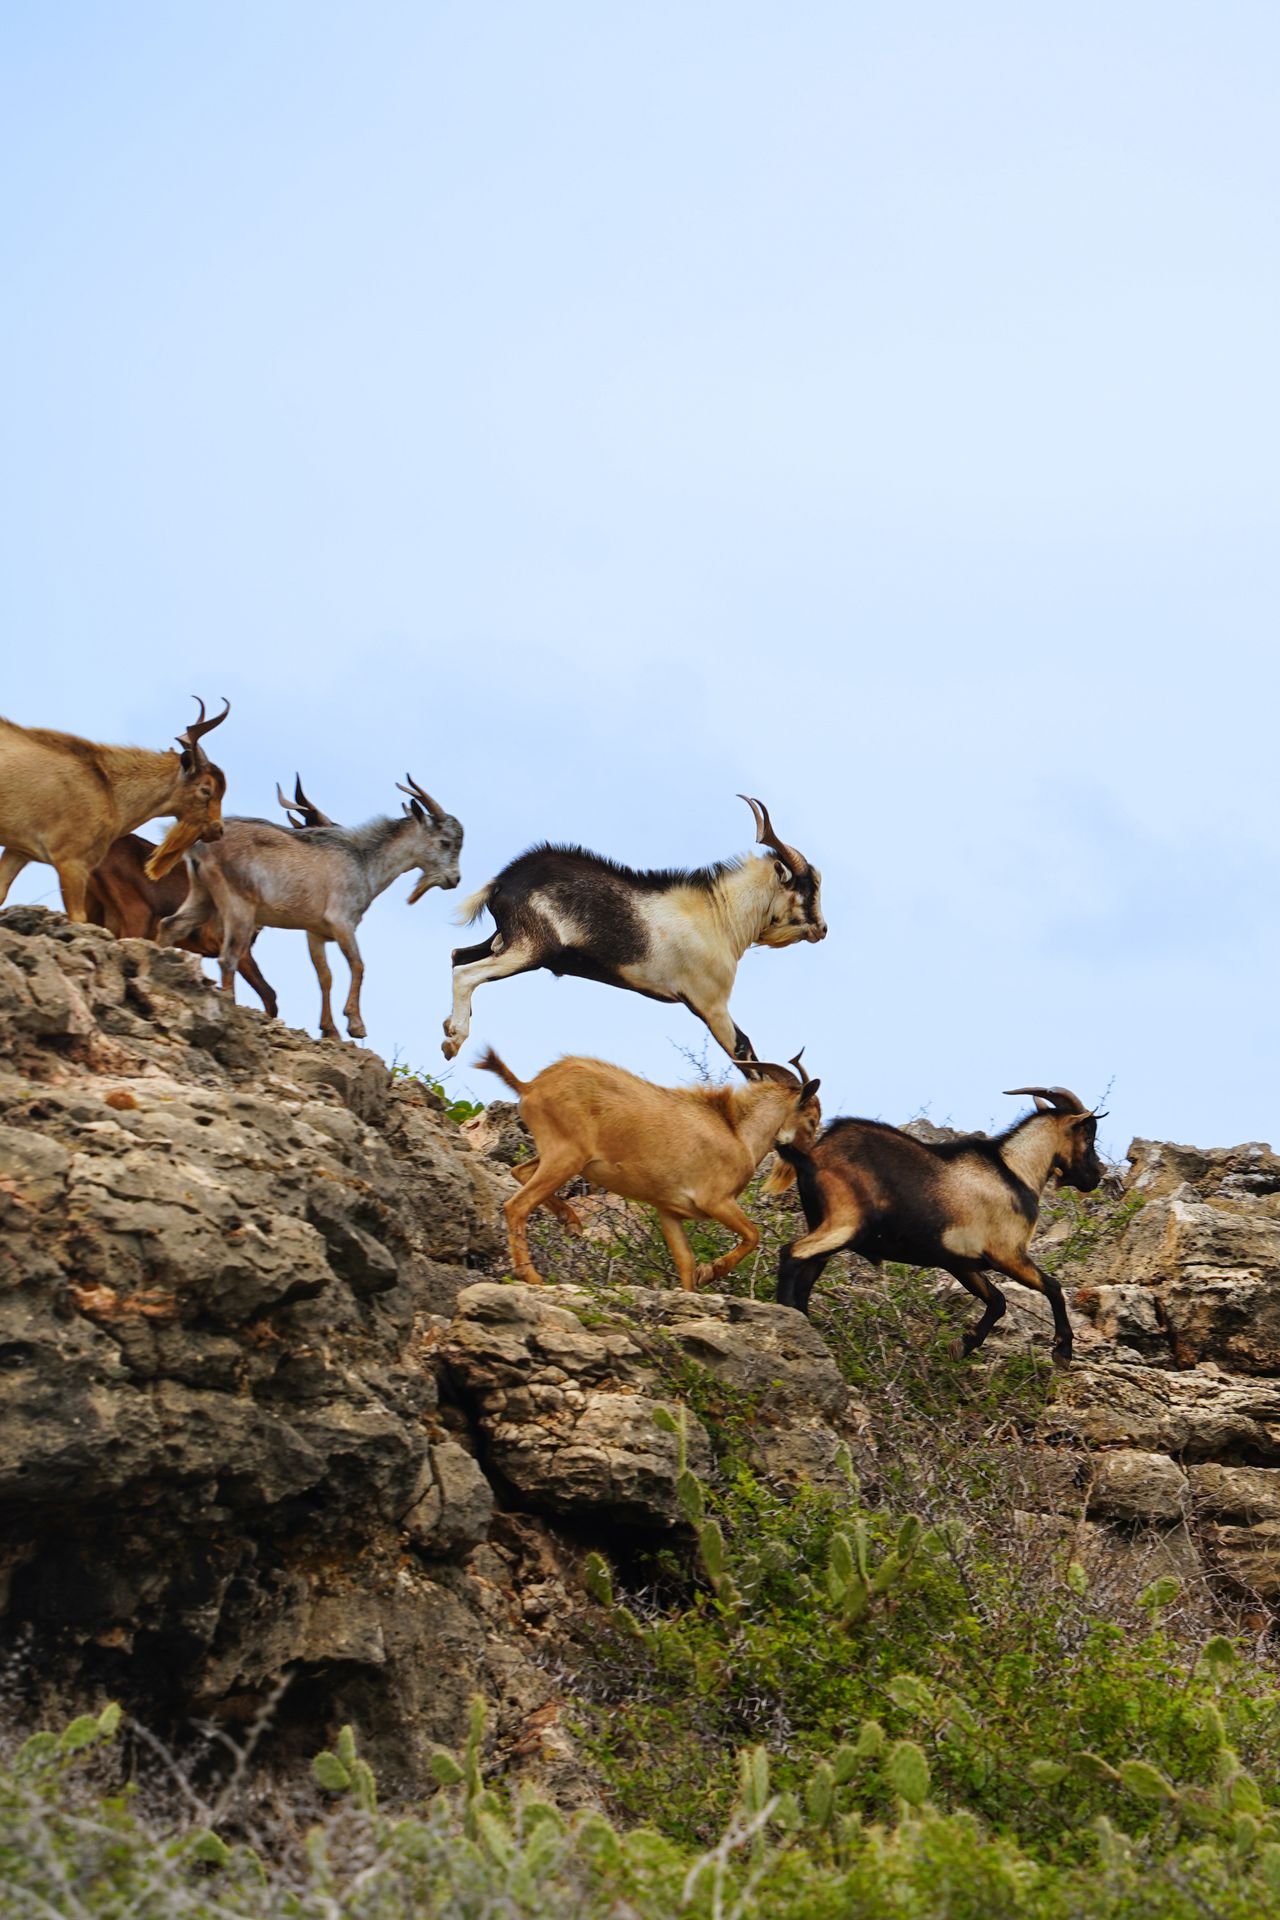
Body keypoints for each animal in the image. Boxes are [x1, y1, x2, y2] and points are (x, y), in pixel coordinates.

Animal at [0, 698, 230, 922]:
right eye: (206, 789)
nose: (217, 829)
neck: (108, 789)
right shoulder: (72, 863)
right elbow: (78, 917)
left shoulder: (19, 852)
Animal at [160, 775, 462, 1040]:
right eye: (445, 842)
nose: (455, 879)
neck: (363, 861)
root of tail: (200, 846)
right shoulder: (342, 922)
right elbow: (358, 965)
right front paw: (355, 1025)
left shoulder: (316, 933)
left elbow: (324, 976)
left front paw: (330, 1030)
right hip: (239, 905)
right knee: (228, 958)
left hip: (203, 897)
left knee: (170, 925)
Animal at [443, 795, 826, 1065]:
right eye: (807, 889)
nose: (822, 929)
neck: (721, 917)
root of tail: (504, 881)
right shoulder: (710, 1002)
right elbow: (745, 1051)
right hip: (531, 948)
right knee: (466, 972)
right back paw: (453, 1041)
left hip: (504, 941)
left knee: (457, 956)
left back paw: (449, 1027)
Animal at [476, 1047, 822, 1291]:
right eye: (812, 1119)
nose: (809, 1160)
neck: (738, 1133)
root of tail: (530, 1086)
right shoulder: (717, 1201)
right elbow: (752, 1235)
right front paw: (711, 1272)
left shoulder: (669, 1210)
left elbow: (685, 1262)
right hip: (566, 1156)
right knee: (517, 1205)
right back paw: (532, 1277)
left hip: (562, 1157)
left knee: (521, 1172)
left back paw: (570, 1222)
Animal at [771, 1086, 1104, 1366]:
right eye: (1088, 1137)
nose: (1095, 1176)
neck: (1015, 1172)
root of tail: (812, 1157)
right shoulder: (1008, 1254)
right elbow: (1053, 1287)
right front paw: (1063, 1351)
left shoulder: (960, 1262)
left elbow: (997, 1301)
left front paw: (962, 1345)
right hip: (845, 1223)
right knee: (792, 1253)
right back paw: (789, 1321)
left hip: (826, 1225)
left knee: (807, 1273)